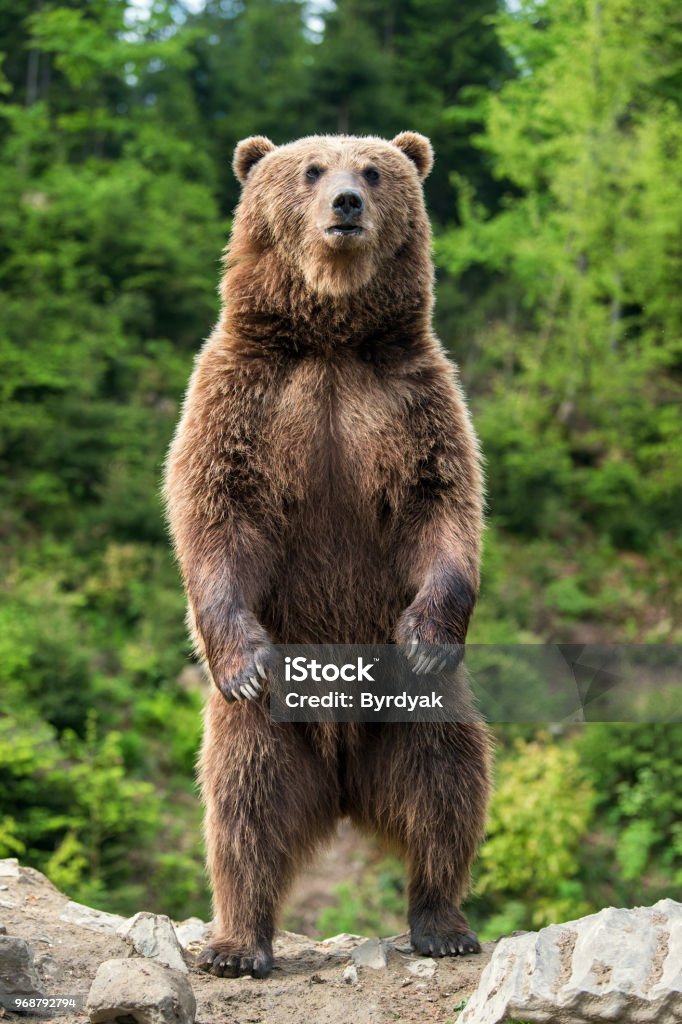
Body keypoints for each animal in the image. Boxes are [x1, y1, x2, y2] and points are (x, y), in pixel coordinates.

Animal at [163, 132, 489, 978]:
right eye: (311, 170)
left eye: (373, 170)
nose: (346, 203)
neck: (331, 337)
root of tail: (342, 784)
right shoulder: (243, 396)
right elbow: (216, 510)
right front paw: (243, 657)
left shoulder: (411, 398)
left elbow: (442, 505)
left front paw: (427, 635)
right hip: (269, 728)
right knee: (243, 807)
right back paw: (237, 943)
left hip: (412, 714)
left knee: (446, 783)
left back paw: (442, 922)